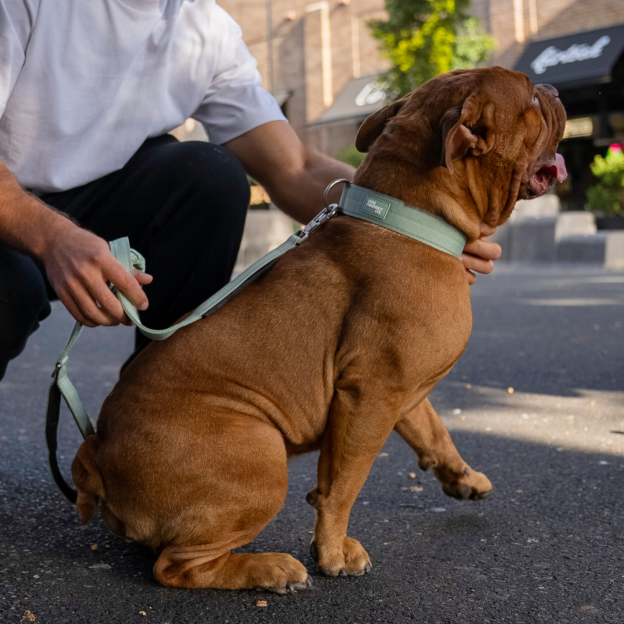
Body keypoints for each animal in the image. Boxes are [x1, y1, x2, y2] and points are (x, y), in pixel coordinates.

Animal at [70, 66, 568, 592]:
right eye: (533, 99)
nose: (554, 89)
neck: (410, 216)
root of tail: (97, 450)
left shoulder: (400, 389)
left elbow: (433, 431)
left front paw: (463, 477)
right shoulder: (370, 395)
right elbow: (343, 485)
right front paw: (331, 552)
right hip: (261, 460)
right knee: (176, 566)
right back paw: (270, 568)